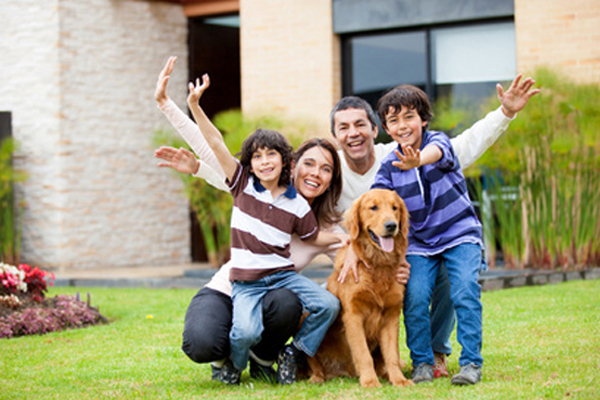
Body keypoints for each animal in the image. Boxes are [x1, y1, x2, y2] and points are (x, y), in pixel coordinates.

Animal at [304, 189, 412, 390]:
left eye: (395, 208)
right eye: (373, 207)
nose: (391, 225)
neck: (377, 264)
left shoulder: (392, 315)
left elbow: (392, 354)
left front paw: (398, 380)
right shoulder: (353, 316)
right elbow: (363, 354)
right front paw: (370, 381)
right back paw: (317, 377)